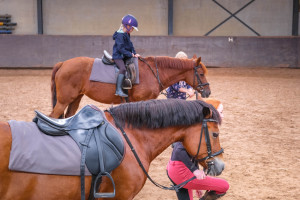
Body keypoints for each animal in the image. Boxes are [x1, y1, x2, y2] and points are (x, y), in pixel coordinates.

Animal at [49, 55, 211, 118]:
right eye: (201, 74)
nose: (208, 92)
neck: (152, 72)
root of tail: (63, 63)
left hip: (75, 99)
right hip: (63, 101)